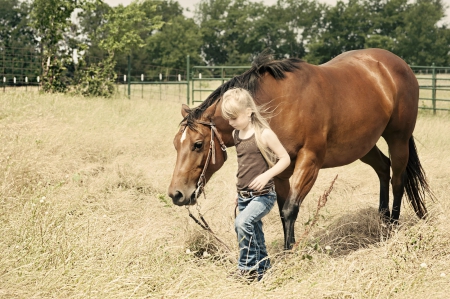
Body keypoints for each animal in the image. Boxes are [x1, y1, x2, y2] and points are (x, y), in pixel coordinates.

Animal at [167, 49, 434, 251]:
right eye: (176, 144)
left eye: (198, 144)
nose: (176, 194)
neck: (280, 105)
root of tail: (397, 64)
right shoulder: (279, 171)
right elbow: (282, 210)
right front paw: (289, 249)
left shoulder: (310, 161)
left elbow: (290, 209)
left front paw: (289, 254)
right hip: (363, 145)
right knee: (383, 168)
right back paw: (382, 219)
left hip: (398, 139)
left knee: (398, 179)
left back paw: (393, 226)